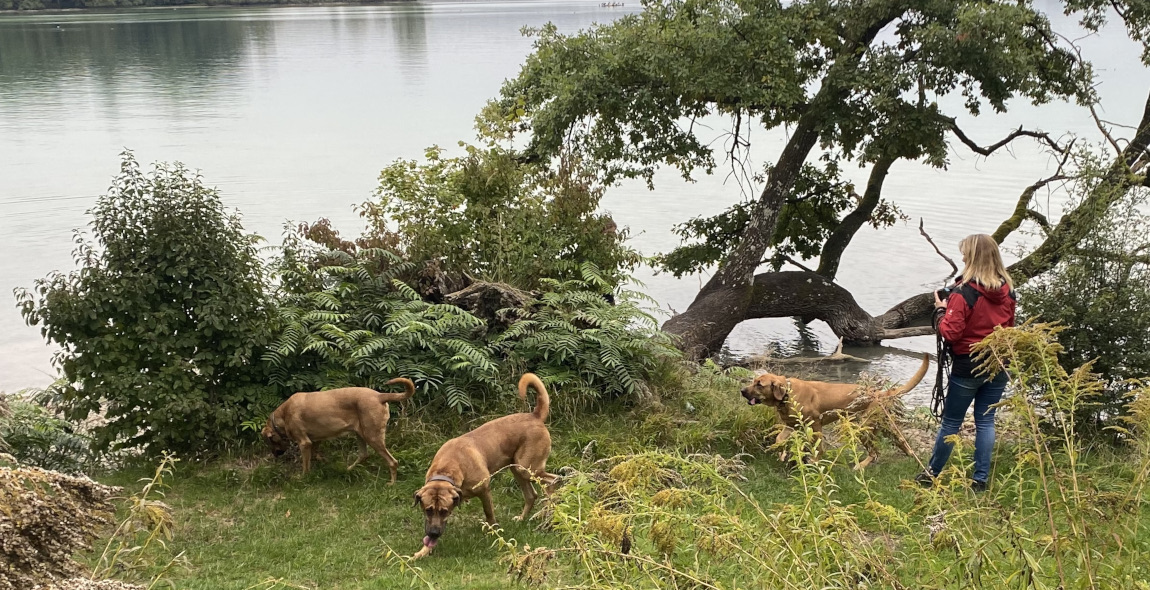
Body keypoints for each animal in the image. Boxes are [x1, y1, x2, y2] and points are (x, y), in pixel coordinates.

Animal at [263, 379, 416, 480]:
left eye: (270, 442)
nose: (275, 455)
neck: (282, 416)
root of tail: (380, 396)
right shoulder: (315, 440)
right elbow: (314, 455)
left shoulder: (304, 443)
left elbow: (305, 465)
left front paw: (303, 477)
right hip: (360, 434)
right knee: (364, 455)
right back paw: (348, 469)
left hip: (372, 436)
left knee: (392, 462)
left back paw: (391, 483)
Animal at [411, 372, 558, 556]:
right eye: (428, 509)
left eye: (444, 511)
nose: (433, 533)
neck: (447, 469)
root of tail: (535, 415)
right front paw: (422, 552)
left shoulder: (484, 490)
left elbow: (489, 514)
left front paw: (495, 532)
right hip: (517, 468)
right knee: (532, 495)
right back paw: (523, 518)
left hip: (527, 468)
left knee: (554, 480)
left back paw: (549, 509)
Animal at [740, 351, 929, 466]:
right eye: (753, 381)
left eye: (759, 384)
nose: (742, 391)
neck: (787, 395)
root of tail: (879, 393)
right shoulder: (790, 426)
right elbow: (779, 439)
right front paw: (782, 453)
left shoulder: (815, 425)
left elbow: (818, 448)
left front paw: (814, 462)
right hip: (883, 425)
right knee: (900, 442)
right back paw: (911, 457)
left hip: (864, 428)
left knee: (875, 452)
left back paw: (860, 466)